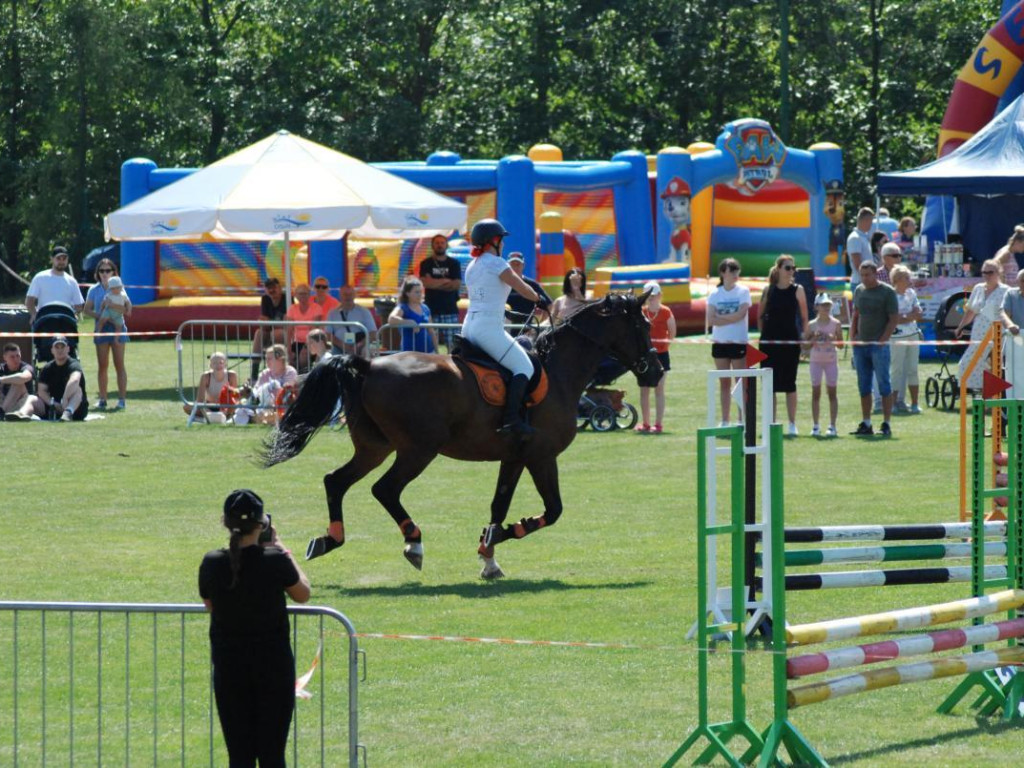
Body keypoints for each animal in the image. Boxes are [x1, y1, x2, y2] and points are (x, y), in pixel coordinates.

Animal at [262, 288, 663, 577]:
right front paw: (499, 536)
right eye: (643, 327)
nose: (657, 371)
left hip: (374, 448)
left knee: (336, 481)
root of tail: (368, 364)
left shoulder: (515, 457)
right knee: (384, 489)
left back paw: (329, 539)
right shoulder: (541, 456)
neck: (559, 371)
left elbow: (500, 504)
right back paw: (413, 542)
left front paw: (489, 553)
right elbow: (553, 510)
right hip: (418, 450)